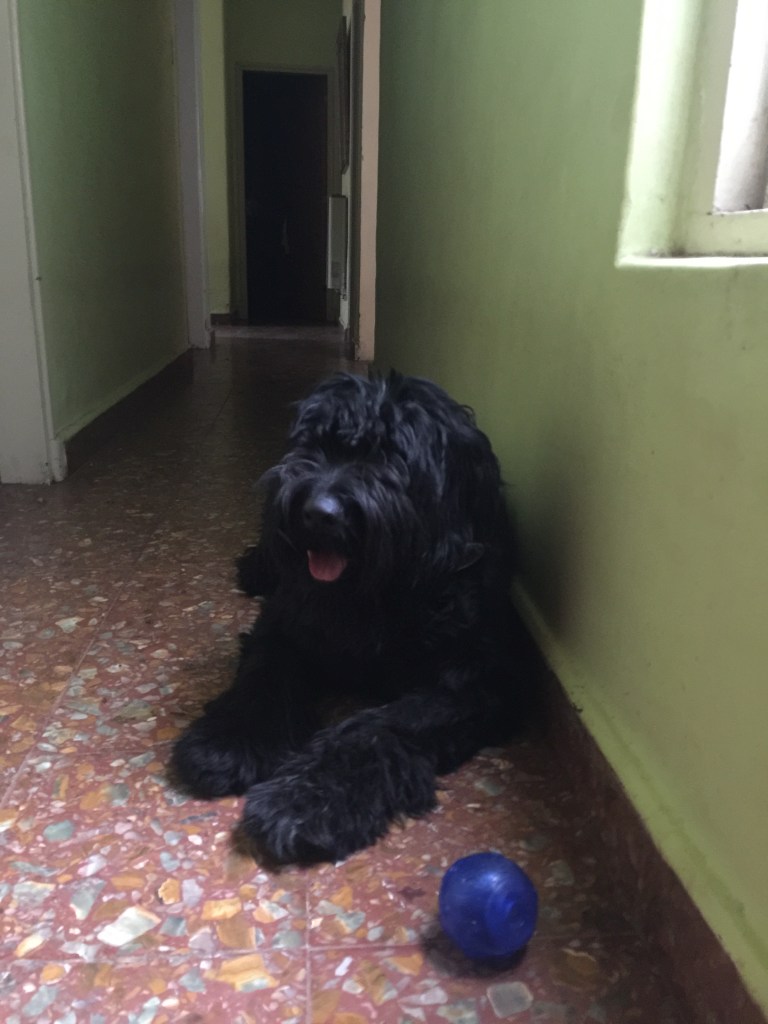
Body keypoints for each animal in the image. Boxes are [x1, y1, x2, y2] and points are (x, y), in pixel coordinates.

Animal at [170, 371, 533, 864]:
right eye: (314, 443)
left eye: (394, 456)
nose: (318, 513)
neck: (374, 594)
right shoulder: (285, 626)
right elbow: (263, 676)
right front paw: (229, 741)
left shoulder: (479, 681)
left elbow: (384, 724)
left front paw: (307, 800)